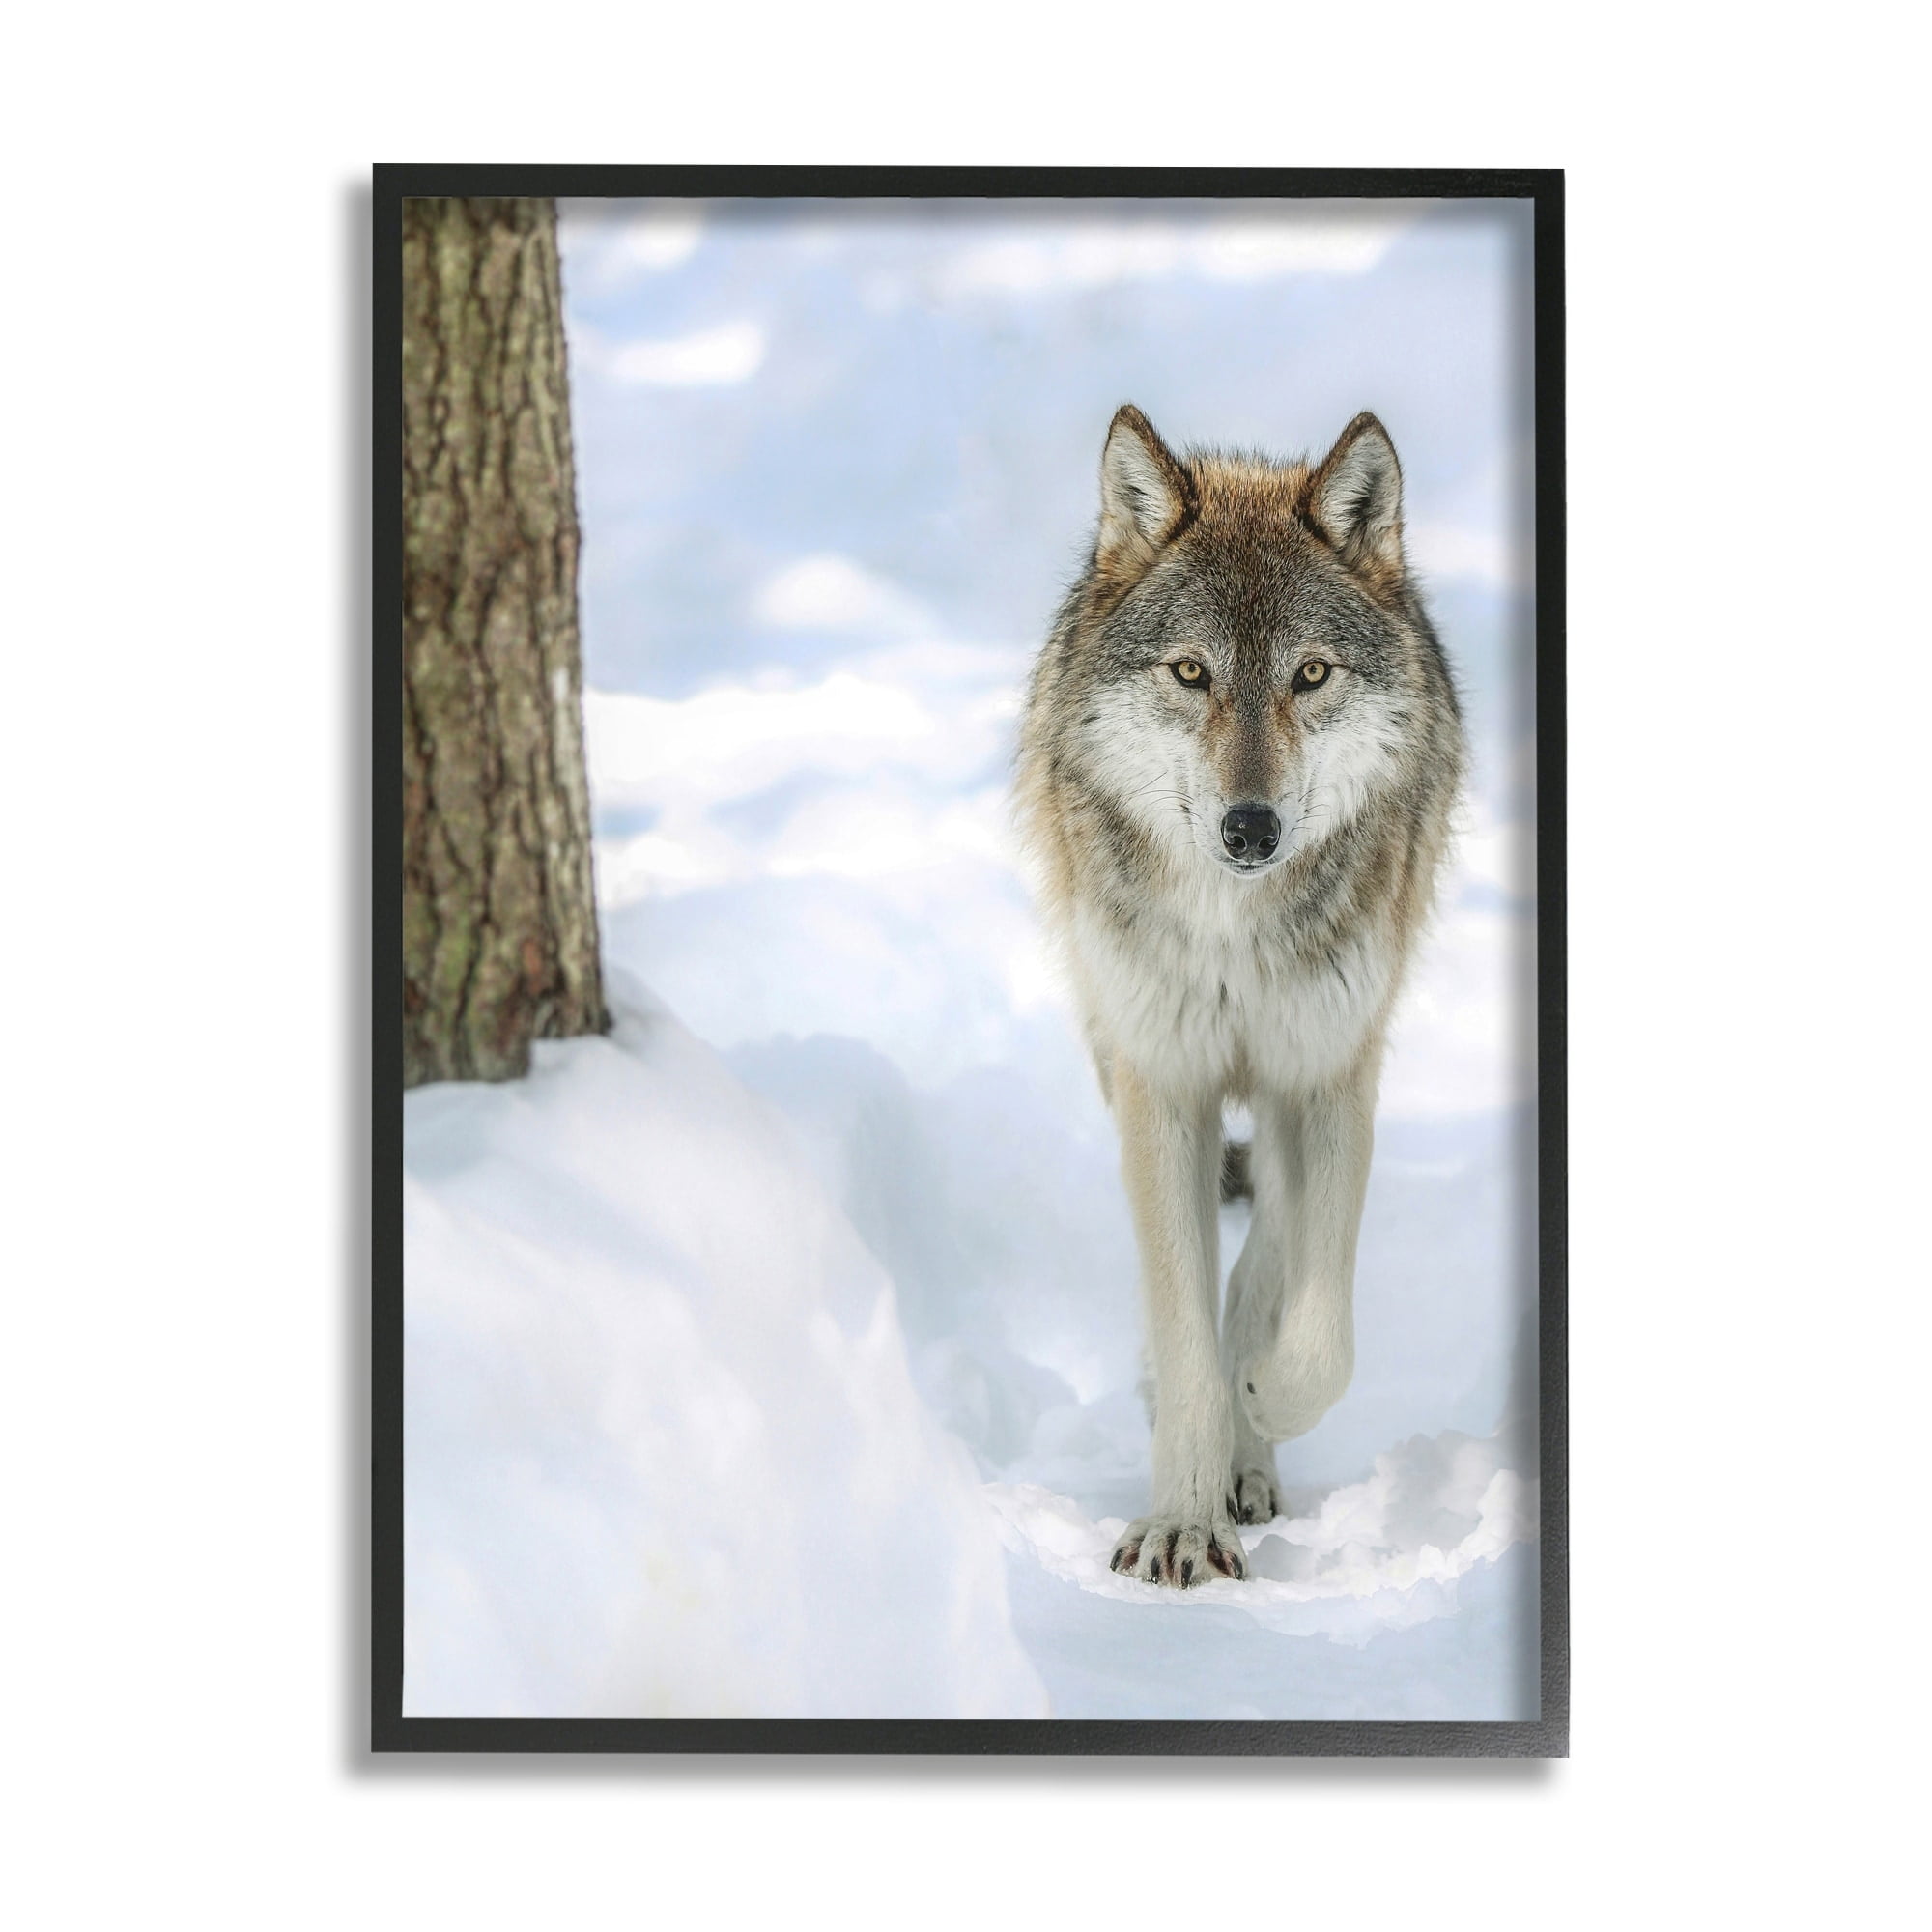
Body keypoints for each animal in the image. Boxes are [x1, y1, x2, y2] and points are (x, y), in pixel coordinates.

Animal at [1016, 404, 1464, 1586]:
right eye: (1189, 671)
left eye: (1308, 674)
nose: (1249, 828)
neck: (1235, 932)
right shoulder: (1161, 1082)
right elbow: (1180, 1327)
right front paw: (1180, 1518)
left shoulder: (1329, 1073)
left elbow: (1317, 1329)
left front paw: (1258, 1399)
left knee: (1270, 1238)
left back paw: (1250, 1444)